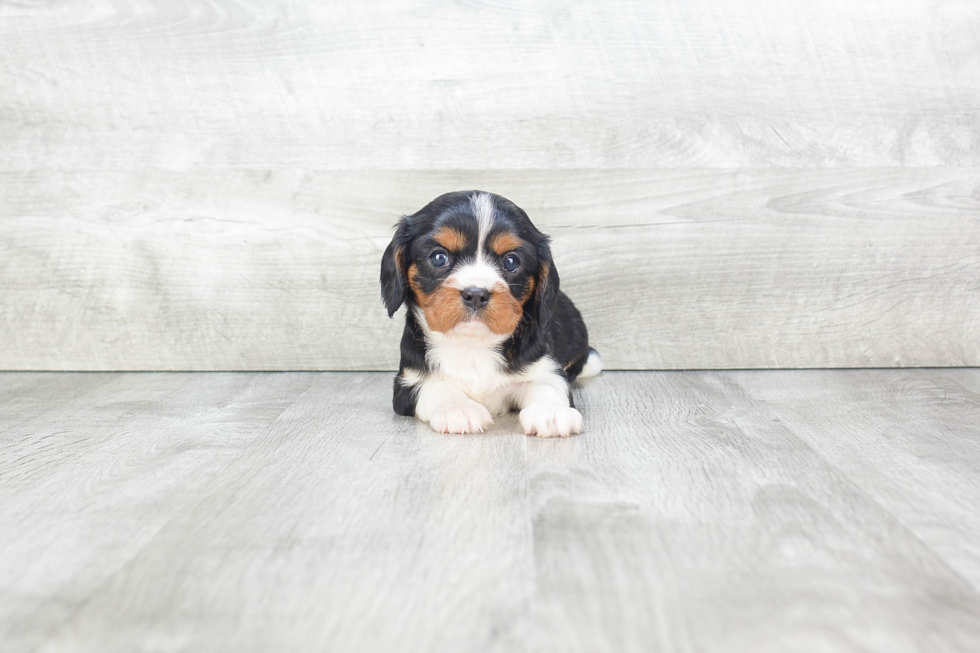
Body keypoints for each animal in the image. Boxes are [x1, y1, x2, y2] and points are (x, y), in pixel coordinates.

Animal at [378, 191, 600, 436]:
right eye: (439, 257)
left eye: (511, 261)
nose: (476, 294)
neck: (472, 346)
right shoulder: (407, 382)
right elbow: (436, 386)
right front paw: (458, 409)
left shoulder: (544, 368)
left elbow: (547, 386)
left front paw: (550, 412)